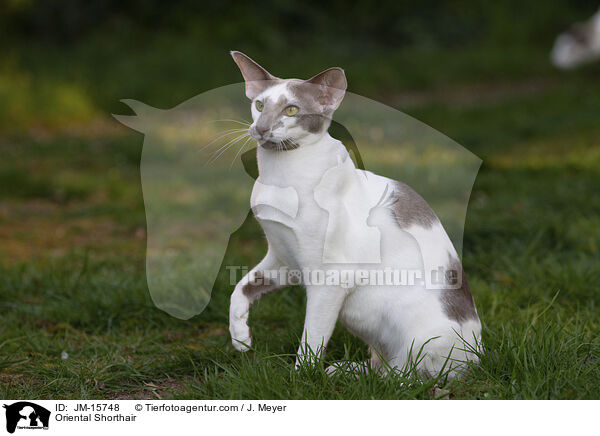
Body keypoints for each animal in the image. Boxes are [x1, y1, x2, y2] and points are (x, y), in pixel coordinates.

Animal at [227, 51, 480, 378]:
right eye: (259, 105)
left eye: (291, 110)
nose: (261, 128)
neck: (278, 176)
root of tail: (479, 356)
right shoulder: (284, 260)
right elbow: (240, 288)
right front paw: (241, 339)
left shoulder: (330, 277)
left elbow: (312, 338)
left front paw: (300, 379)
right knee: (380, 367)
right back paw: (344, 370)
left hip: (415, 333)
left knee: (406, 374)